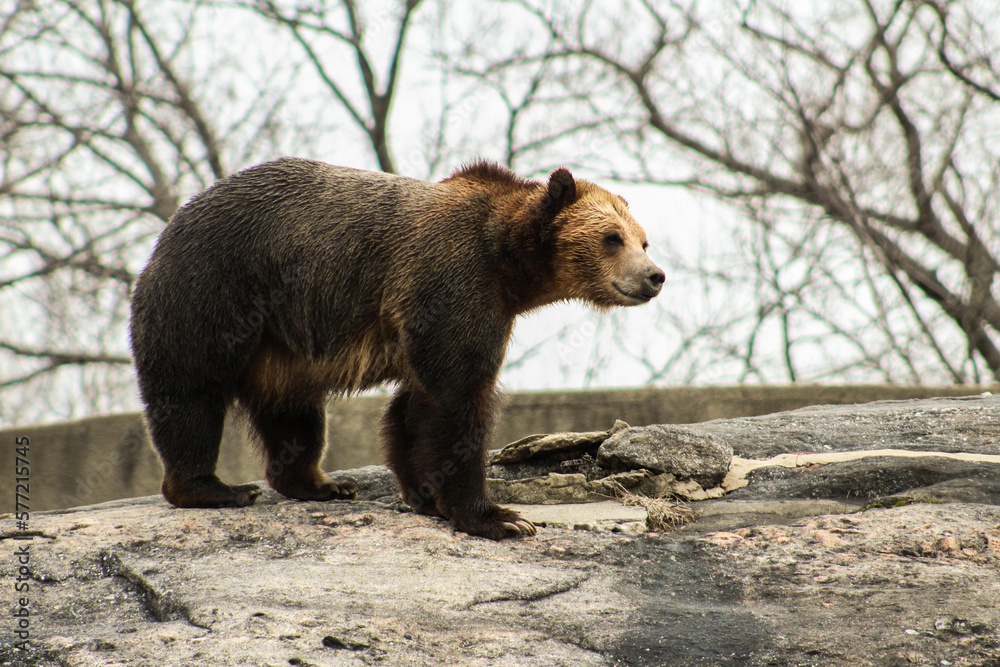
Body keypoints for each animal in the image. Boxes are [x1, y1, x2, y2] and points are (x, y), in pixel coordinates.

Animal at [129, 157, 664, 540]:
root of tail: (173, 223)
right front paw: (500, 518)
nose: (655, 276)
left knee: (296, 412)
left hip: (285, 345)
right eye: (612, 238)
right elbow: (459, 395)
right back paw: (215, 488)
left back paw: (322, 483)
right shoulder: (455, 282)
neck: (508, 261)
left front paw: (423, 495)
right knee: (192, 391)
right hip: (217, 286)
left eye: (643, 240)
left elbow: (416, 406)